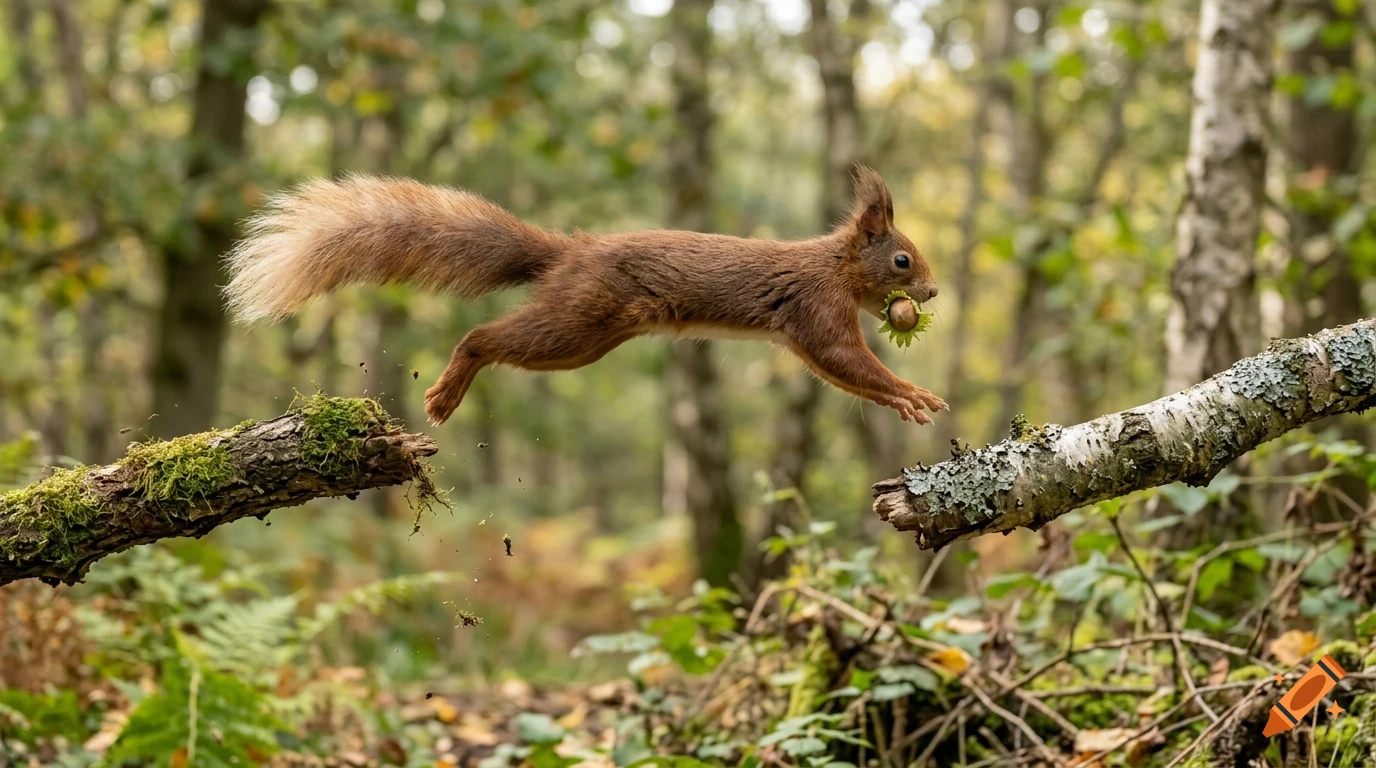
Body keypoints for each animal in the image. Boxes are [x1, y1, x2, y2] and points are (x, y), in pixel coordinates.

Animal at [224, 167, 946, 426]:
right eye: (902, 258)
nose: (933, 290)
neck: (836, 266)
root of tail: (568, 252)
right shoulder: (817, 312)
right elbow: (848, 362)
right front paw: (914, 395)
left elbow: (841, 371)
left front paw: (909, 398)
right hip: (576, 324)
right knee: (482, 338)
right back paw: (445, 393)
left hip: (586, 334)